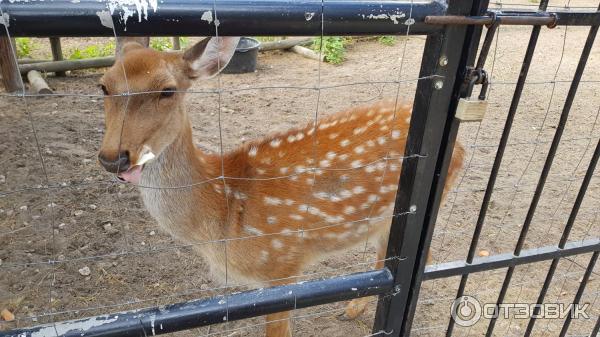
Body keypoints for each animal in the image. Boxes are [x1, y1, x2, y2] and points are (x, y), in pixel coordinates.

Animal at [97, 36, 464, 336]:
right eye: (104, 86)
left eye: (167, 90)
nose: (114, 158)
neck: (222, 211)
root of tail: (460, 148)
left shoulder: (282, 265)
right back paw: (353, 308)